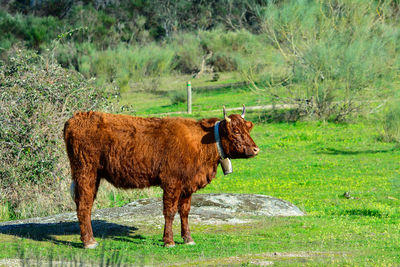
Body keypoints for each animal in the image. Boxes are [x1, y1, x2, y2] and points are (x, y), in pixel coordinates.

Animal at [63, 106, 260, 249]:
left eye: (247, 129)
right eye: (235, 131)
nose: (256, 149)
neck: (202, 141)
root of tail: (77, 117)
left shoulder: (187, 185)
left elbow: (185, 211)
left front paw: (188, 238)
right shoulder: (172, 182)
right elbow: (170, 212)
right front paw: (169, 241)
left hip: (93, 176)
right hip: (86, 172)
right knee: (84, 206)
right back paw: (89, 242)